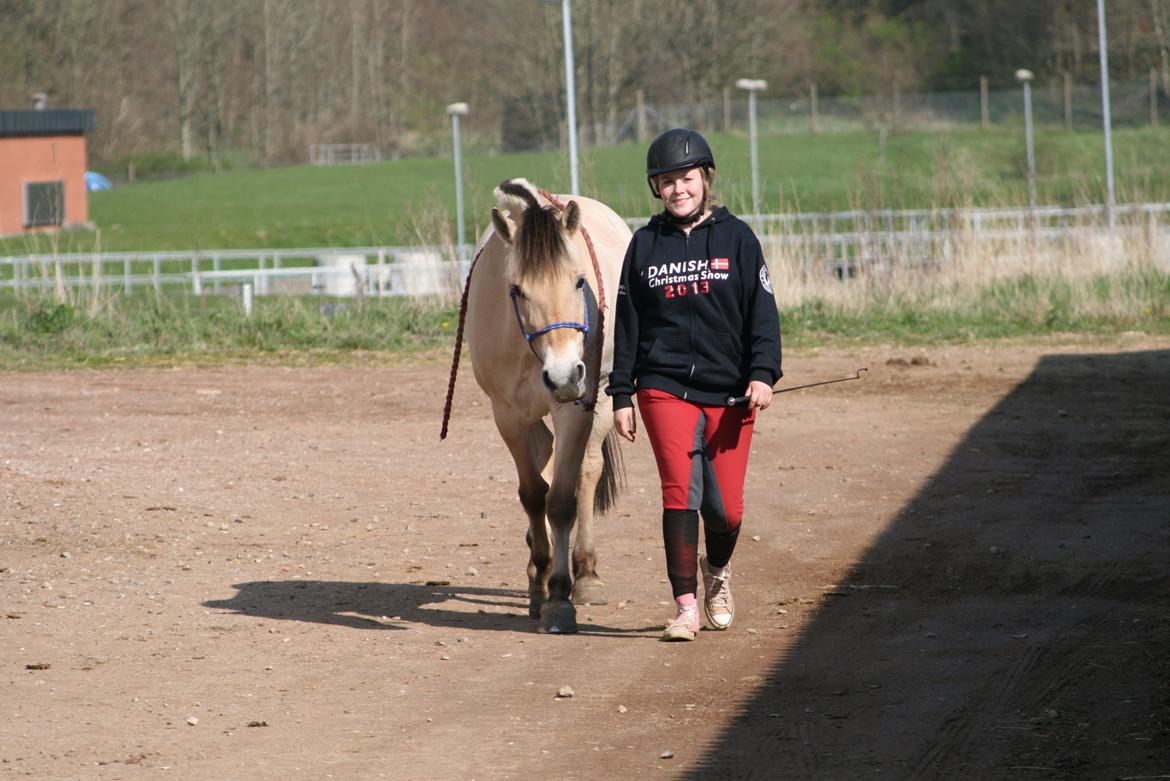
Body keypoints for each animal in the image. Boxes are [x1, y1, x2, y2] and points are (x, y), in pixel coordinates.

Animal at [463, 178, 631, 636]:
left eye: (578, 282)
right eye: (517, 290)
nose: (563, 376)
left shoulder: (574, 409)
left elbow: (560, 502)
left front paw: (559, 597)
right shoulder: (507, 415)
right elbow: (532, 494)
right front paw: (539, 581)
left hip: (600, 400)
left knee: (587, 473)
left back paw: (586, 575)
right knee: (543, 457)